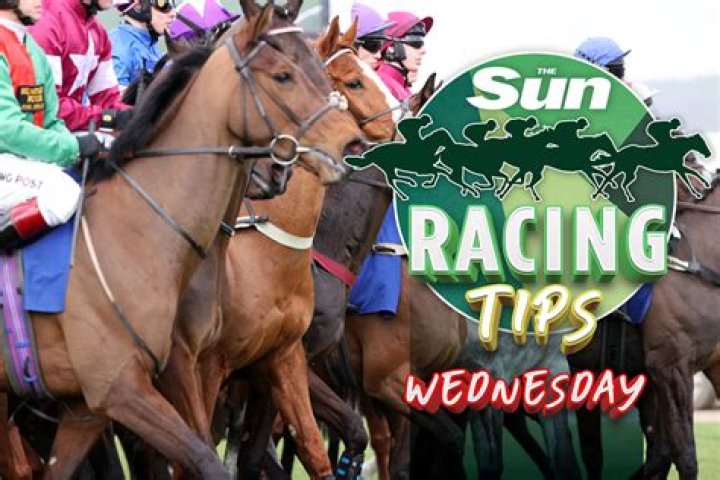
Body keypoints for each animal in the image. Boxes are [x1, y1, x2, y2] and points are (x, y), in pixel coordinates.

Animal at [1, 3, 363, 477]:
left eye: (322, 74)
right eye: (283, 75)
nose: (350, 143)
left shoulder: (92, 405)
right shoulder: (141, 380)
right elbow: (199, 457)